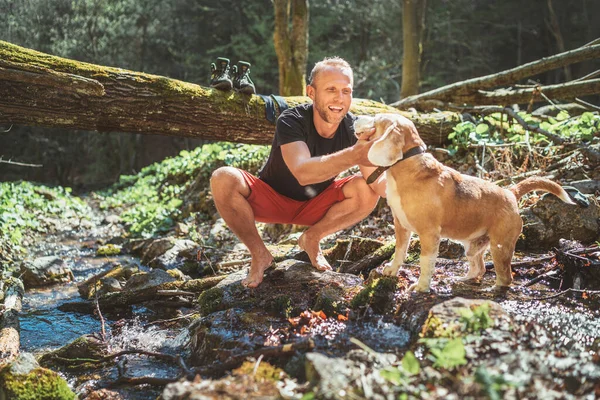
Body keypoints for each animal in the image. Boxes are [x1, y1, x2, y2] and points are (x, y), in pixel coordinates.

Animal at [356, 114, 576, 292]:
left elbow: (425, 263)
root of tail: (510, 192)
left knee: (506, 277)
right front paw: (392, 270)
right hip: (472, 246)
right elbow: (399, 252)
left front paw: (421, 287)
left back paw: (492, 290)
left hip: (500, 248)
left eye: (376, 118)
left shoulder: (429, 234)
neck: (407, 167)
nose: (356, 116)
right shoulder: (401, 226)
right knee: (479, 268)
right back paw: (464, 279)